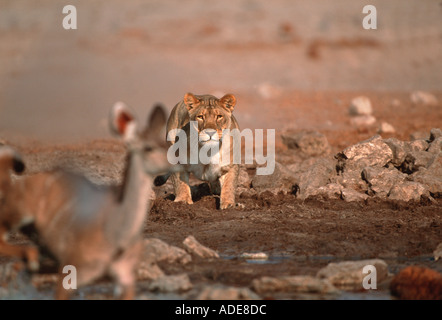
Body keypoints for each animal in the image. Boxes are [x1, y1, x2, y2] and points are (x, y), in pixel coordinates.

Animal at [0, 103, 171, 300]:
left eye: (165, 145)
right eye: (148, 148)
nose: (174, 163)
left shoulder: (126, 277)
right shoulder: (70, 273)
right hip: (16, 216)